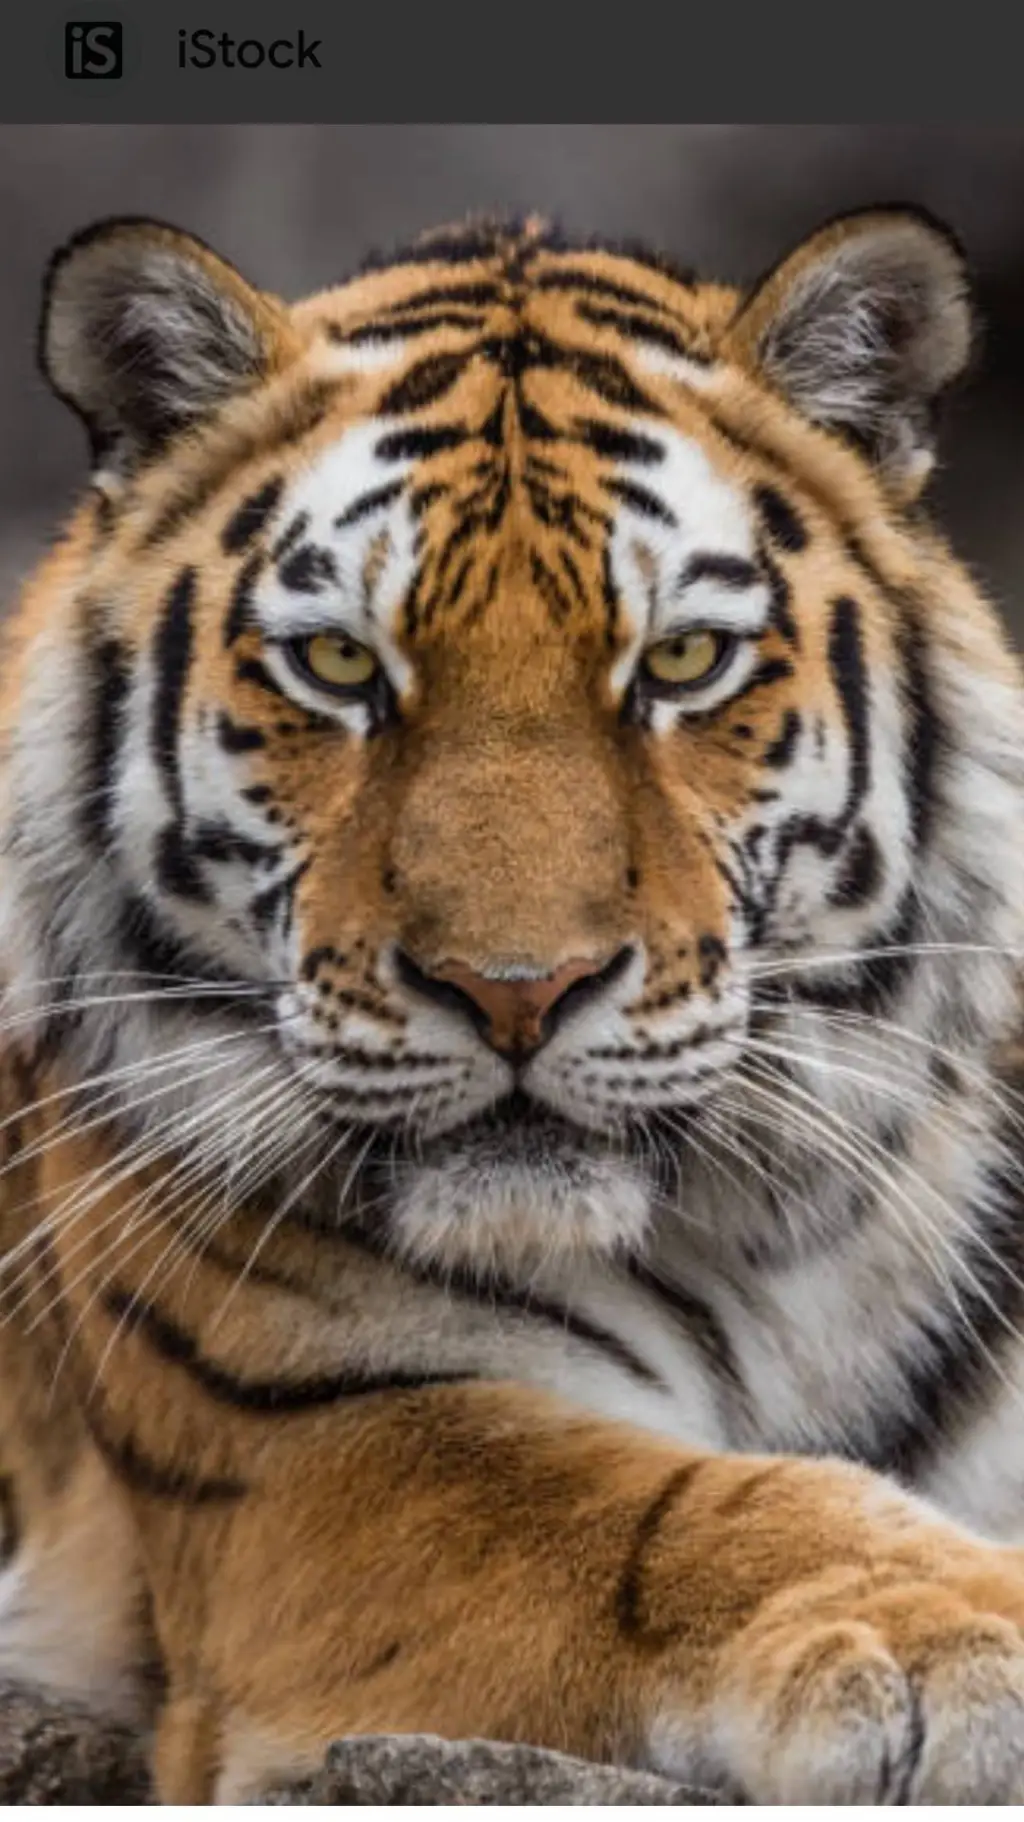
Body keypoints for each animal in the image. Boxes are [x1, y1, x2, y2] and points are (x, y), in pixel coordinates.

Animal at [1, 201, 1024, 1803]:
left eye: (681, 660)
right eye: (339, 664)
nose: (515, 991)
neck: (770, 1254)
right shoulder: (316, 1448)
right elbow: (673, 1513)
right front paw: (959, 1637)